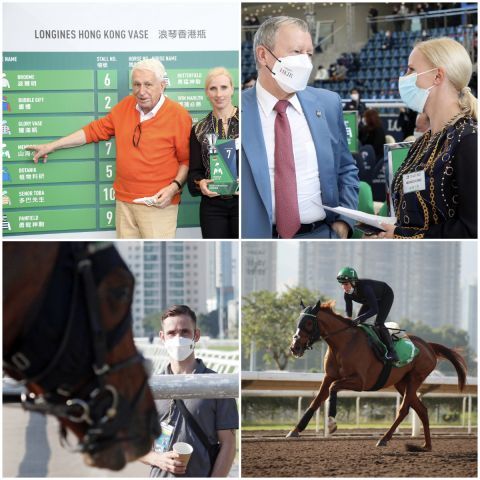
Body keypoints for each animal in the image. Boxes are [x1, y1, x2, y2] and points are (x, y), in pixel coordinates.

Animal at [286, 300, 466, 450]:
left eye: (309, 322)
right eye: (298, 322)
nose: (295, 347)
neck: (344, 343)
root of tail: (428, 346)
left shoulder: (361, 382)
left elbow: (333, 388)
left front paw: (331, 424)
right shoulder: (328, 376)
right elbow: (316, 401)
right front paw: (295, 430)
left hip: (415, 378)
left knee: (403, 410)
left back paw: (384, 439)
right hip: (402, 383)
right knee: (422, 410)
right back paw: (426, 446)